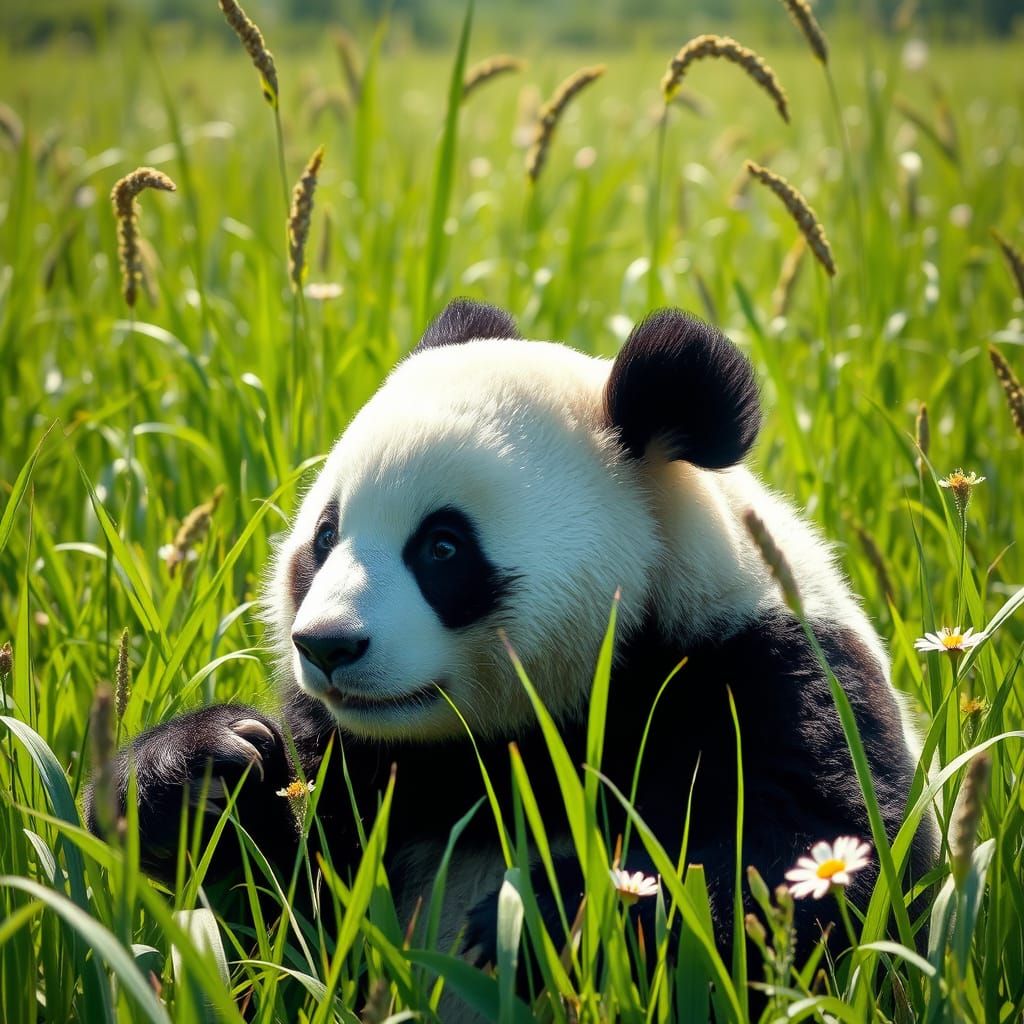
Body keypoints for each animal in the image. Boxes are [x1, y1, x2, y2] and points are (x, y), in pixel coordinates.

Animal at [89, 299, 936, 1005]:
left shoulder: (769, 676)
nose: (328, 645)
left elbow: (807, 873)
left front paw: (535, 918)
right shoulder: (361, 760)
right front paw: (200, 769)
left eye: (442, 547)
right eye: (324, 537)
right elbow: (280, 922)